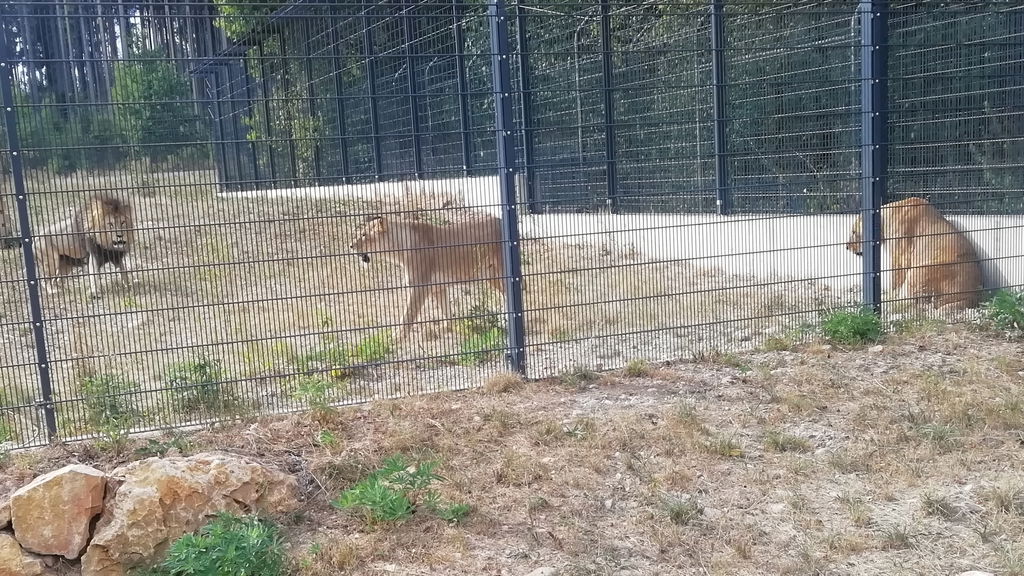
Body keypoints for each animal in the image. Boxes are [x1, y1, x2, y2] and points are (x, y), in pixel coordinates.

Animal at [348, 212, 507, 342]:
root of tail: (500, 219)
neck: (398, 250)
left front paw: (396, 338)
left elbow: (408, 313)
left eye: (364, 234)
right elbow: (446, 311)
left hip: (501, 271)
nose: (350, 246)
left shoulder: (420, 286)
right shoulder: (438, 288)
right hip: (491, 277)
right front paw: (446, 329)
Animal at [846, 196, 983, 310]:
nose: (847, 246)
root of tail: (973, 296)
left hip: (921, 269)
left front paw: (890, 296)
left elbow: (896, 279)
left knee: (916, 302)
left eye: (853, 232)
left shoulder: (901, 256)